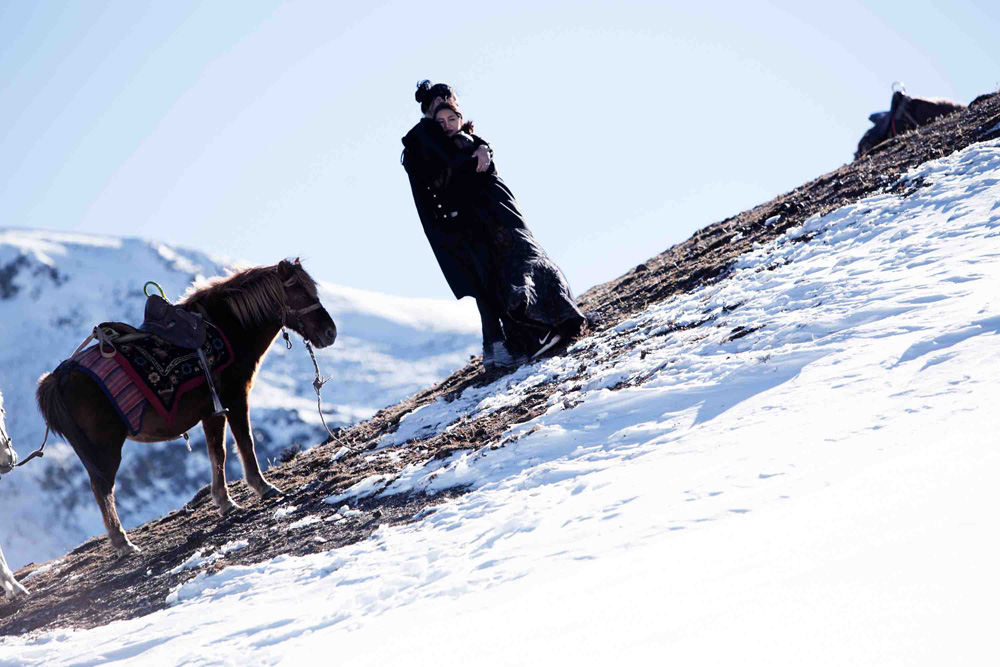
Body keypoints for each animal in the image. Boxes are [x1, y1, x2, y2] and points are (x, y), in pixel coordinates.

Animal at [36, 260, 336, 560]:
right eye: (300, 293)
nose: (330, 333)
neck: (227, 328)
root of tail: (58, 379)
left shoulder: (212, 411)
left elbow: (218, 452)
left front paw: (225, 501)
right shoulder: (235, 397)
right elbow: (245, 442)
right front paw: (263, 487)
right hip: (104, 448)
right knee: (103, 490)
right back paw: (124, 543)